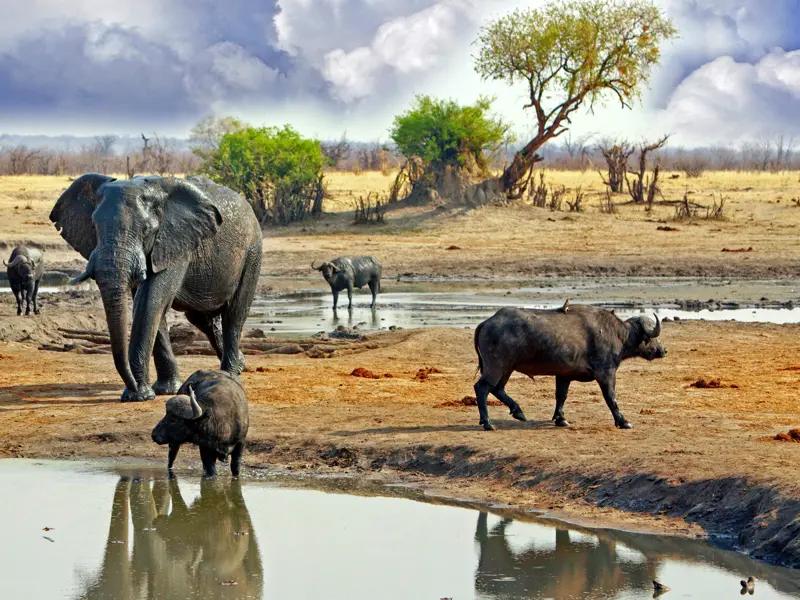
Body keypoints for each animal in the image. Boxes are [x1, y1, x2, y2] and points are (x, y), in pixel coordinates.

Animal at [50, 173, 262, 404]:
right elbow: (151, 306)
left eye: (146, 230)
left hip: (252, 252)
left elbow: (150, 300)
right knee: (202, 319)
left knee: (234, 315)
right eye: (94, 227)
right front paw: (162, 390)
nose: (132, 388)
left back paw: (230, 375)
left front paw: (139, 396)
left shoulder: (173, 242)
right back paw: (239, 364)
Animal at [472, 308, 664, 428]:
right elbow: (611, 398)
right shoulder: (606, 374)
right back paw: (487, 422)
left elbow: (561, 396)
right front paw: (623, 421)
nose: (664, 350)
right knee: (482, 387)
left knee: (497, 389)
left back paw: (518, 411)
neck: (618, 334)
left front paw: (560, 419)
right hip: (496, 366)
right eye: (654, 338)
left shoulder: (564, 375)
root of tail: (488, 322)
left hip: (507, 368)